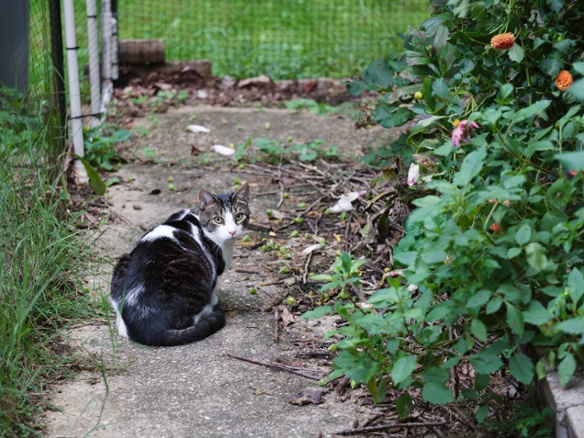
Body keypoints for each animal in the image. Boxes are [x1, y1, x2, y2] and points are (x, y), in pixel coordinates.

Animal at [110, 184, 250, 346]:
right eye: (218, 219)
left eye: (239, 216)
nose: (232, 231)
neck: (195, 215)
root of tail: (146, 325)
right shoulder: (215, 266)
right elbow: (214, 283)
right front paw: (215, 297)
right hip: (193, 270)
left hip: (122, 261)